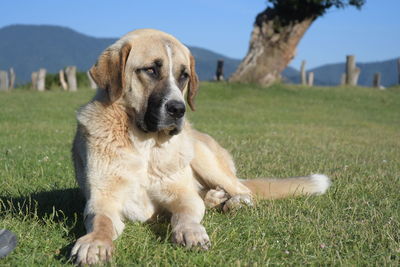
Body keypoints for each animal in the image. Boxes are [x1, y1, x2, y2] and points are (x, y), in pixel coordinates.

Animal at [69, 29, 332, 266]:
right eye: (151, 70)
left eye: (184, 75)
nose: (178, 109)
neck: (146, 146)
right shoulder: (102, 200)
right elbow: (102, 222)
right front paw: (95, 243)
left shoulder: (182, 195)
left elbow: (185, 214)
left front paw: (191, 232)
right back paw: (215, 198)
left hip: (203, 157)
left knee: (245, 191)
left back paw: (233, 202)